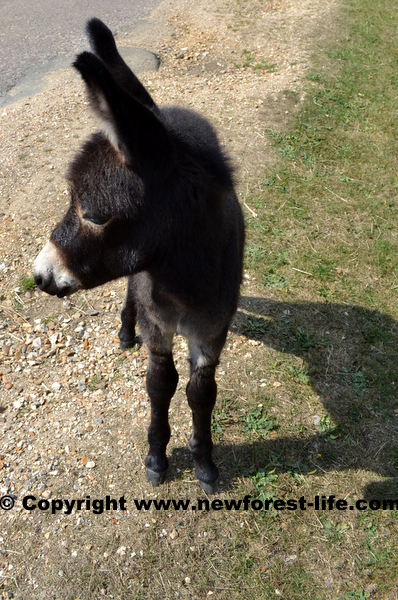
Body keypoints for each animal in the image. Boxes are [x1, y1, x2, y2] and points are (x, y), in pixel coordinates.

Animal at [33, 18, 246, 492]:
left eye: (94, 215)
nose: (39, 275)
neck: (183, 282)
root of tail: (158, 111)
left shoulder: (212, 330)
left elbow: (201, 393)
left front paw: (204, 464)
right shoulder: (158, 325)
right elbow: (161, 384)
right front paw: (156, 458)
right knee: (132, 296)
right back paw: (125, 332)